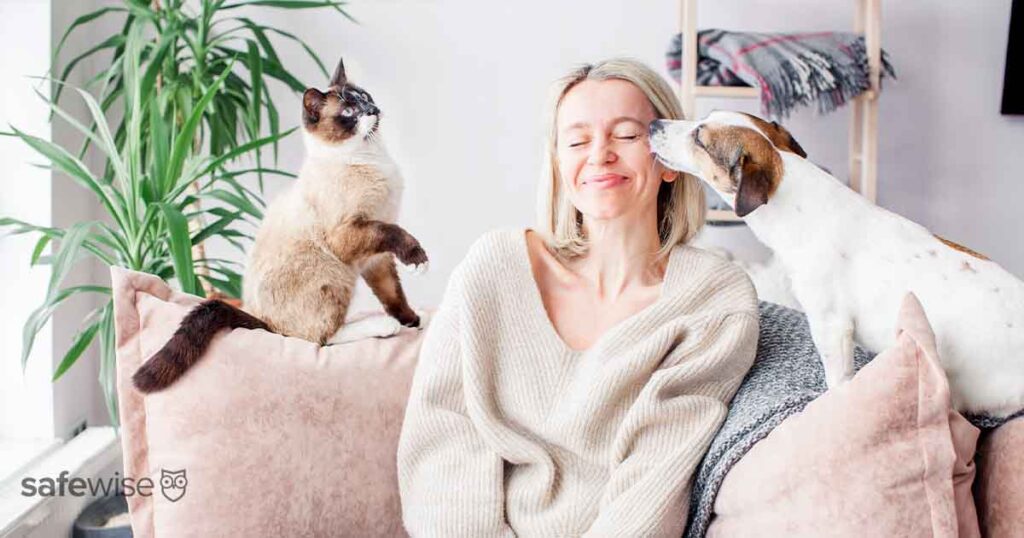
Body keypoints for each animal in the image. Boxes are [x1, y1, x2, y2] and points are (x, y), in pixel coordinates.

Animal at [133, 56, 428, 391]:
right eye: (349, 113)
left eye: (365, 97)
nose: (373, 110)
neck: (371, 157)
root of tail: (264, 324)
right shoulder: (354, 233)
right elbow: (395, 234)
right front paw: (418, 261)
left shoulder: (375, 258)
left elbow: (393, 294)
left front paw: (413, 321)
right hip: (334, 272)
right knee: (318, 338)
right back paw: (383, 327)